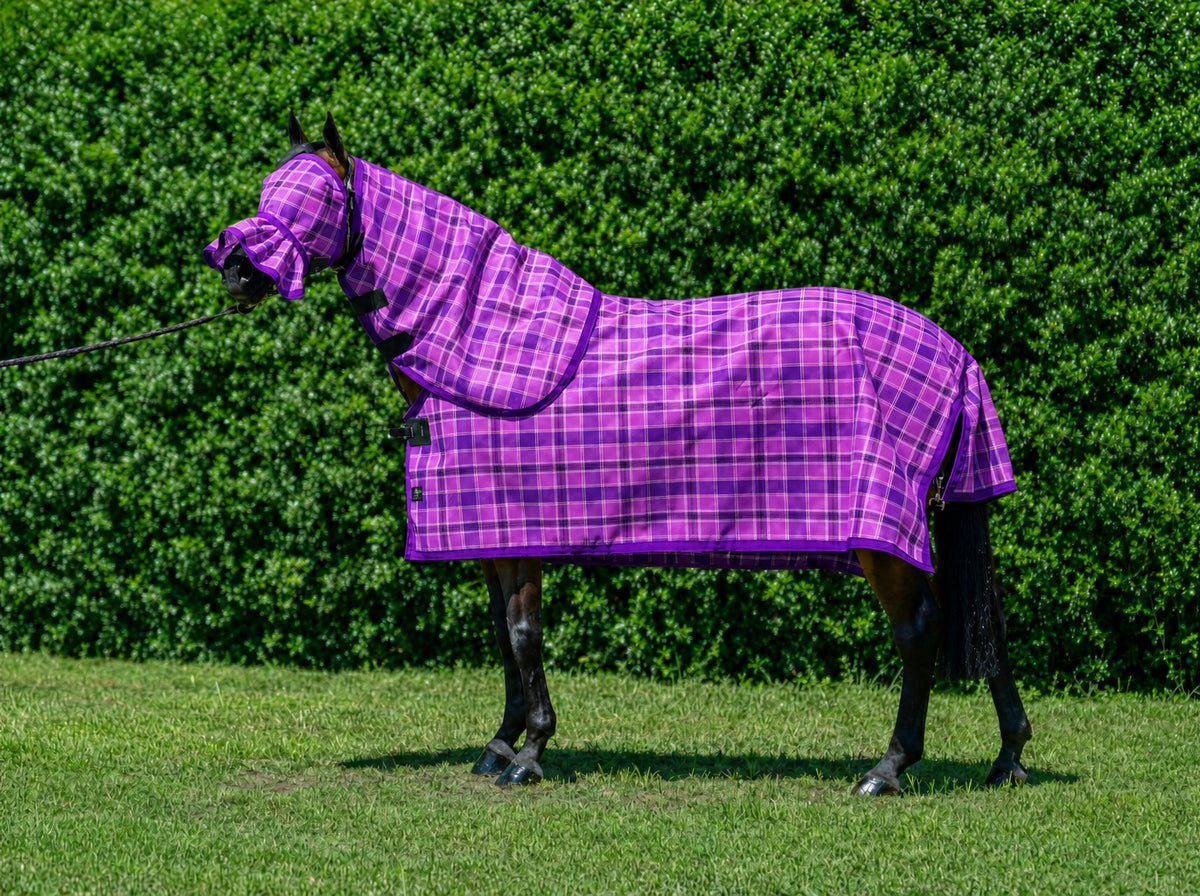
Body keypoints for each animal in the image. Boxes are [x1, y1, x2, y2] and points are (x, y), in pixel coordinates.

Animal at [205, 113, 1031, 795]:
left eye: (314, 199)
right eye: (268, 190)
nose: (237, 270)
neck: (475, 341)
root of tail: (952, 351)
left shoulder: (520, 533)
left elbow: (523, 635)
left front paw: (530, 755)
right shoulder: (494, 536)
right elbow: (503, 638)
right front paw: (500, 745)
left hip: (880, 538)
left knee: (919, 632)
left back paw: (888, 768)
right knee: (984, 624)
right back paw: (1008, 758)